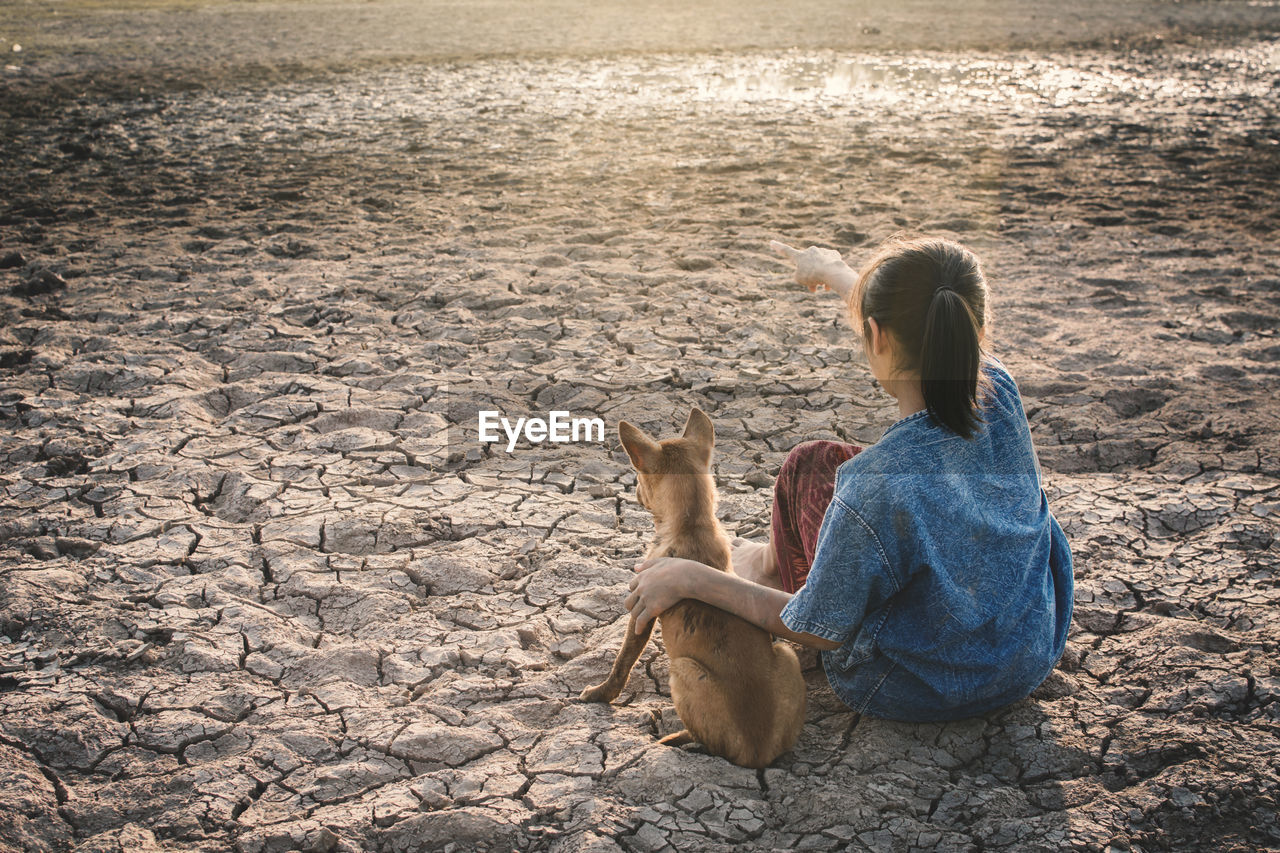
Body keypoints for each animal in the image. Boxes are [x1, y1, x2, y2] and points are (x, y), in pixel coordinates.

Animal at [578, 409, 798, 768]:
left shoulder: (642, 607)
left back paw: (679, 739)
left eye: (638, 478)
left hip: (681, 668)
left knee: (711, 742)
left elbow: (622, 662)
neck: (693, 524)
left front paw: (600, 694)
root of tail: (758, 754)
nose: (633, 493)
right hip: (787, 653)